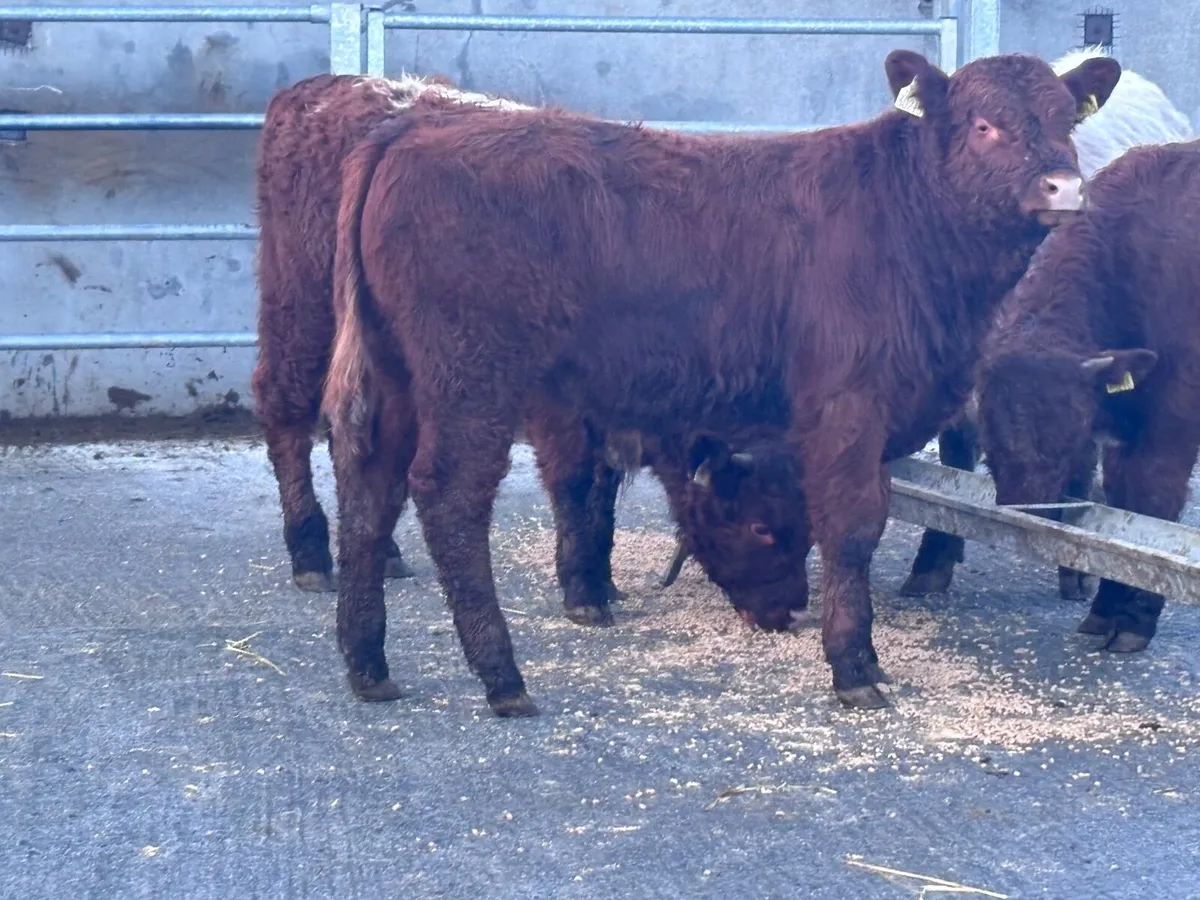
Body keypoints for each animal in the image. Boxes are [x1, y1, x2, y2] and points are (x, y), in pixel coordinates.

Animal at [251, 71, 809, 630]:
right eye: (760, 523)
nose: (787, 610)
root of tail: (324, 89)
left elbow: (603, 482)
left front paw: (600, 575)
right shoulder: (558, 402)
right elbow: (576, 478)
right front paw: (584, 587)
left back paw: (384, 553)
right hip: (302, 315)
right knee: (285, 409)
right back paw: (310, 554)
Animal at [322, 49, 1121, 716]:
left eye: (1065, 119)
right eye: (985, 125)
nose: (1064, 186)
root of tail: (416, 125)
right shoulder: (849, 405)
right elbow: (853, 527)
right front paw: (854, 667)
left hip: (394, 371)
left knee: (368, 487)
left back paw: (368, 666)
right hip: (472, 375)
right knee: (448, 496)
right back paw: (502, 677)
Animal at [974, 138, 1200, 656]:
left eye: (1070, 433)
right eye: (988, 431)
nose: (1027, 510)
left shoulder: (1172, 425)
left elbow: (1151, 503)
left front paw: (1133, 619)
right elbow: (1120, 510)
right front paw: (1105, 609)